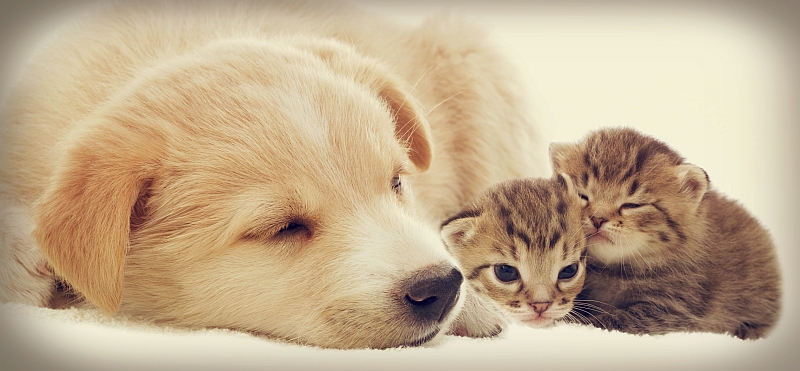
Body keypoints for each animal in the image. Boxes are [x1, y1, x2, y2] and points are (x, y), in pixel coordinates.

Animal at [552, 128, 780, 340]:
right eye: (582, 195)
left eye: (632, 205)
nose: (598, 219)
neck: (615, 269)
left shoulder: (673, 309)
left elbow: (610, 320)